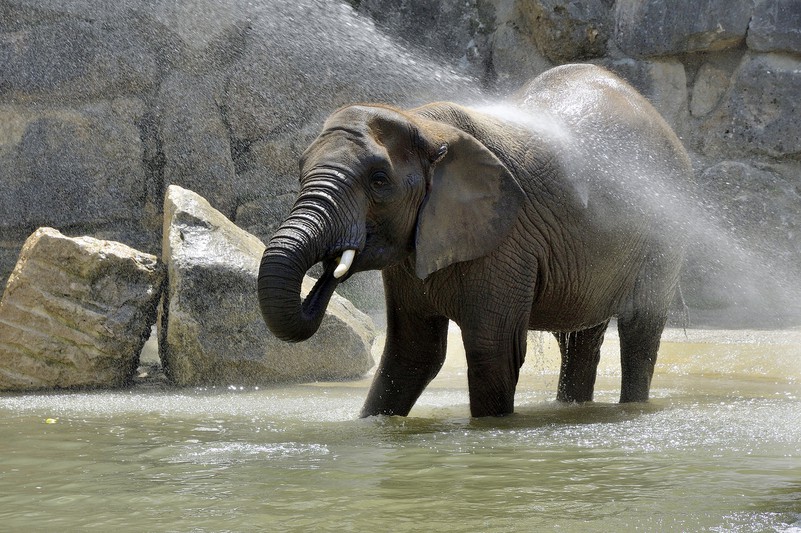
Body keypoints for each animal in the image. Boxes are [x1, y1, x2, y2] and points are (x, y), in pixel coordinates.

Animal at [258, 64, 692, 418]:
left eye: (379, 181)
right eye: (300, 171)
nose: (328, 272)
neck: (423, 125)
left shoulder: (507, 242)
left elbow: (492, 352)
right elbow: (410, 353)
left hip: (665, 232)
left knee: (639, 330)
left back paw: (631, 406)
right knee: (580, 338)